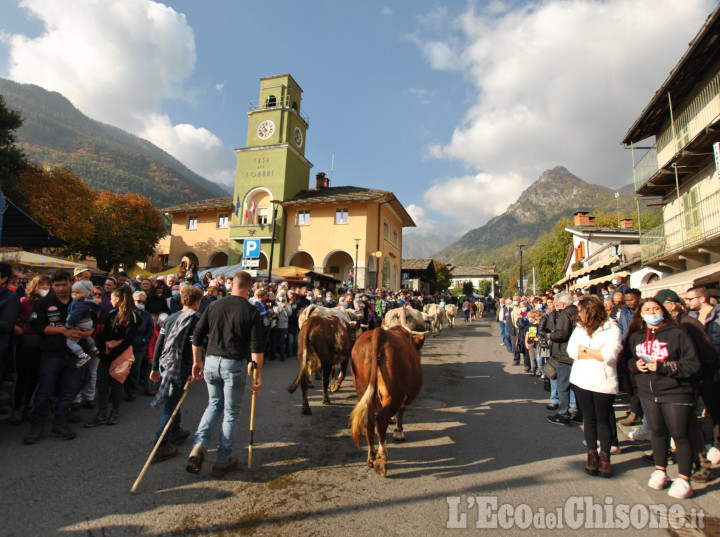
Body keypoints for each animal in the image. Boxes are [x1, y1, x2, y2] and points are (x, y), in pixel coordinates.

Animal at [348, 324, 422, 476]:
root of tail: (379, 332)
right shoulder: (403, 397)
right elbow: (401, 413)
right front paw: (399, 432)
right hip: (394, 394)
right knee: (381, 420)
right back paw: (382, 461)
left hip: (363, 390)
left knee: (369, 421)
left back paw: (371, 457)